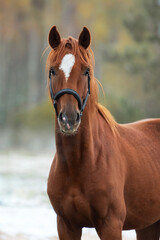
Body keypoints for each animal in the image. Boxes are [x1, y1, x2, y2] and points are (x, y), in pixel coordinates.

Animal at [46, 25, 160, 239]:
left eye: (86, 71)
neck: (81, 164)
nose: (69, 119)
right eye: (52, 71)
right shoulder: (66, 225)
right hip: (147, 225)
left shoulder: (110, 225)